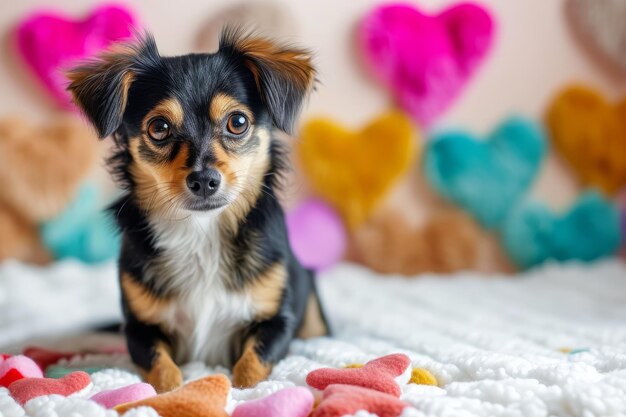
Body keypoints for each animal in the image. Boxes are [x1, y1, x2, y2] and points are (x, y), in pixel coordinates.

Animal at [67, 28, 330, 390]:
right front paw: (172, 391)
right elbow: (163, 371)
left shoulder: (277, 322)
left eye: (237, 122)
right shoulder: (139, 329)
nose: (204, 180)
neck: (200, 230)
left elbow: (251, 367)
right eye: (159, 128)